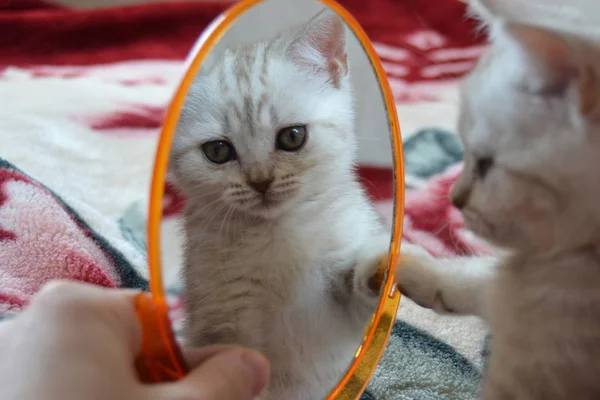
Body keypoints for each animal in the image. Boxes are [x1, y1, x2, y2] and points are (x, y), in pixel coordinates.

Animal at [169, 9, 394, 400]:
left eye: (292, 136)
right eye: (218, 151)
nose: (260, 181)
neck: (277, 236)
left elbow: (356, 287)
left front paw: (380, 265)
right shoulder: (221, 320)